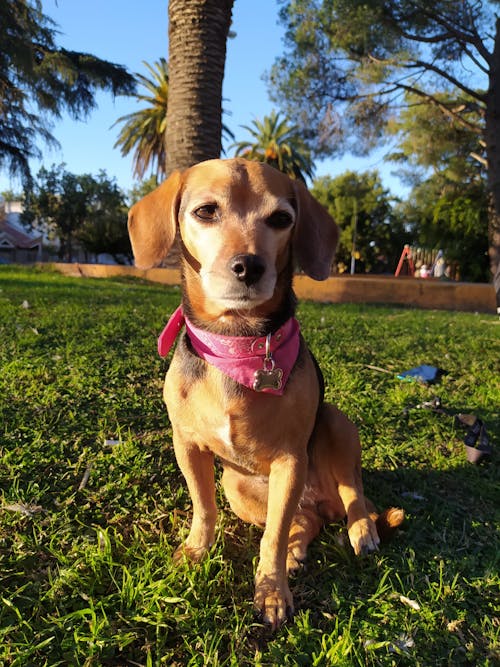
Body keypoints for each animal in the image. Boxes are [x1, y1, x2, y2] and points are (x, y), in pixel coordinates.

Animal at [128, 159, 402, 628]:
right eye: (205, 211)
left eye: (280, 219)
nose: (248, 266)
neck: (237, 344)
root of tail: (321, 500)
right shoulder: (188, 446)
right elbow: (204, 508)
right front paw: (197, 550)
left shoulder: (291, 461)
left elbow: (270, 539)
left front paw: (272, 591)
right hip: (238, 487)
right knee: (304, 521)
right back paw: (297, 551)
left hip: (336, 424)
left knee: (351, 494)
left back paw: (361, 531)